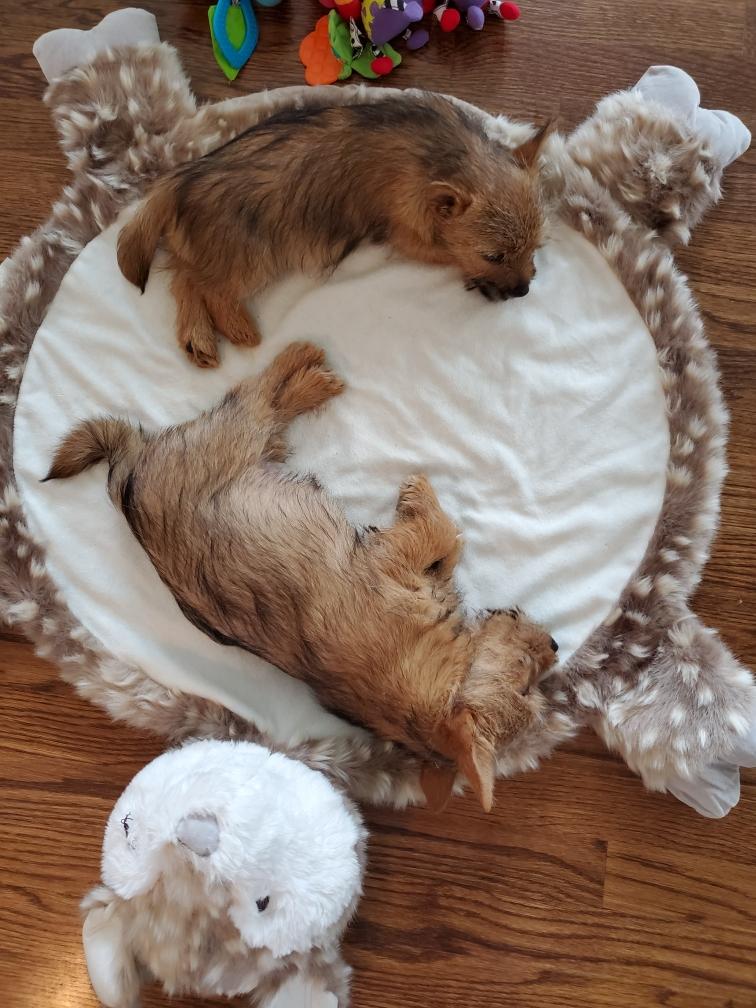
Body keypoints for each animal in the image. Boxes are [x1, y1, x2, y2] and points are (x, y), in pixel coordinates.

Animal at [45, 342, 557, 810]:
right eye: (526, 681)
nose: (555, 645)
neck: (432, 689)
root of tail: (127, 482)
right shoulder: (391, 559)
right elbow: (443, 537)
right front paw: (420, 493)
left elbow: (442, 549)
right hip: (230, 440)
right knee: (254, 395)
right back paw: (307, 364)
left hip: (241, 447)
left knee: (263, 405)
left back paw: (309, 377)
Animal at [117, 95, 549, 368]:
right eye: (493, 256)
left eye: (537, 247)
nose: (524, 290)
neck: (447, 159)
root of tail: (178, 180)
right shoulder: (405, 235)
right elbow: (446, 252)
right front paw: (479, 278)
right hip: (249, 256)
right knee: (207, 287)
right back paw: (237, 329)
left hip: (210, 250)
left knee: (183, 278)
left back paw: (198, 339)